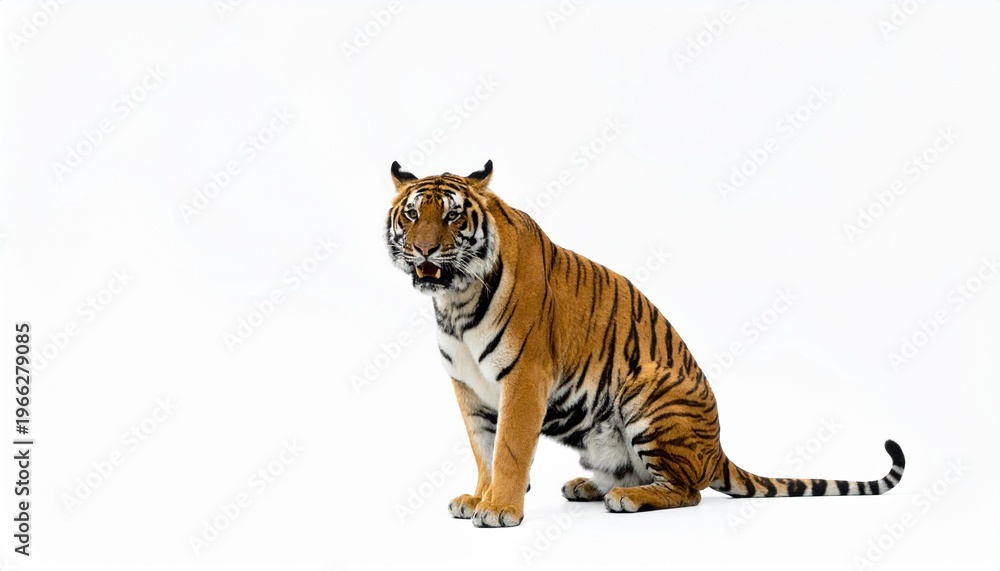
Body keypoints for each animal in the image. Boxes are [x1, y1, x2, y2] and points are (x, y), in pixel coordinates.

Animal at [383, 160, 905, 528]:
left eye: (453, 216)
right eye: (412, 215)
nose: (425, 249)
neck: (455, 300)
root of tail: (717, 449)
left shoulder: (525, 377)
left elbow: (509, 447)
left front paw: (499, 509)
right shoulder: (468, 386)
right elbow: (483, 448)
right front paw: (479, 496)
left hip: (647, 391)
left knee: (688, 490)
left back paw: (627, 498)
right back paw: (588, 486)